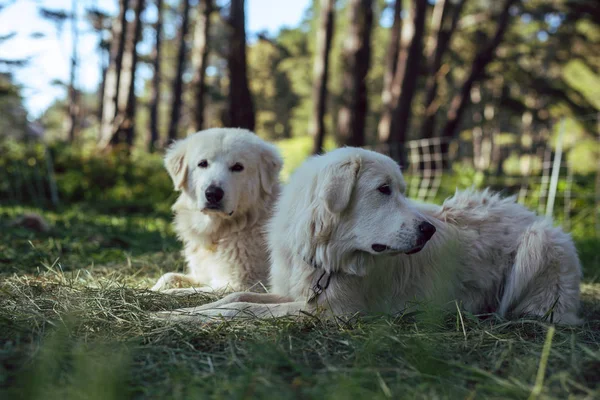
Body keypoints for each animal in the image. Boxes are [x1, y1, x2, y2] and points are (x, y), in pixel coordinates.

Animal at [150, 130, 282, 292]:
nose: (213, 193)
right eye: (202, 164)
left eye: (237, 167)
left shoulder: (239, 285)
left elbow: (180, 291)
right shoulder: (201, 277)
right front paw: (153, 288)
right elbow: (167, 276)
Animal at [158, 146, 580, 322]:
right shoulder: (298, 292)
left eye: (401, 191)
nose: (429, 230)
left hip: (539, 244)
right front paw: (180, 313)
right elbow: (237, 297)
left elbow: (242, 307)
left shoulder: (334, 312)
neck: (327, 257)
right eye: (383, 190)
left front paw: (181, 318)